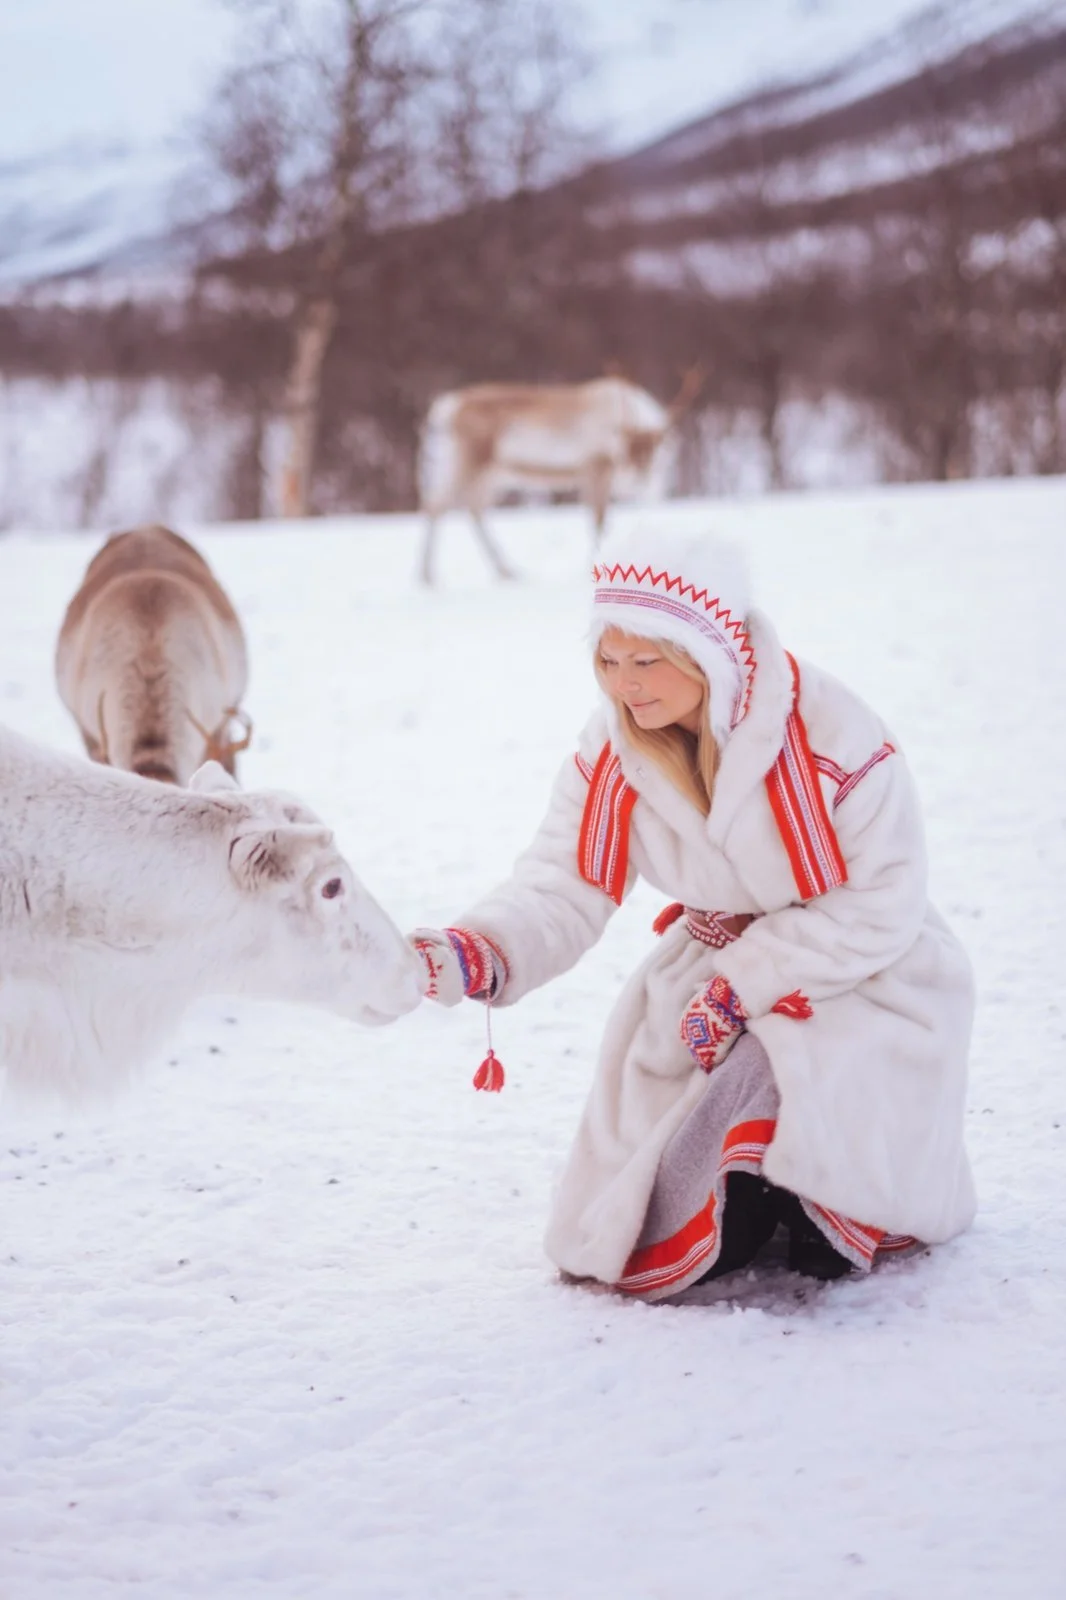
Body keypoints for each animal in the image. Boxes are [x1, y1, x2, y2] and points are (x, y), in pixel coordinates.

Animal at [416, 369, 704, 585]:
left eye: (654, 448)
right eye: (625, 449)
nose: (637, 477)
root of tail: (445, 408)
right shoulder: (594, 468)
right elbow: (598, 521)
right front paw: (597, 569)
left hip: (493, 473)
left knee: (472, 508)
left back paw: (507, 571)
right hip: (466, 461)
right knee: (437, 505)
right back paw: (427, 577)